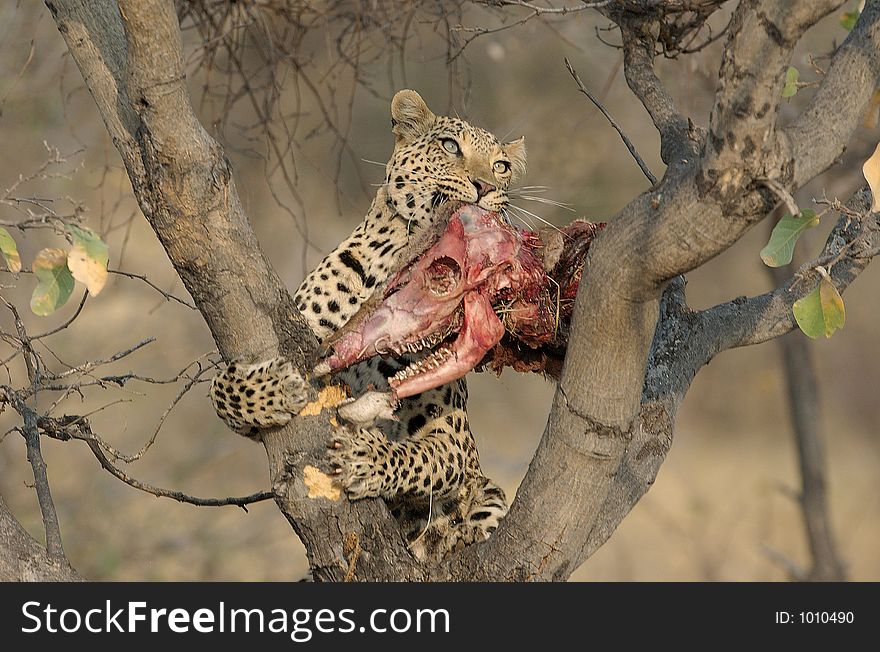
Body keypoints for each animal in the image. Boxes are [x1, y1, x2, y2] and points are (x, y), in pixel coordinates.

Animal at [211, 89, 528, 564]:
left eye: (501, 166)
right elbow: (220, 392)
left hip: (486, 490)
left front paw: (367, 458)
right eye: (450, 146)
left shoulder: (455, 438)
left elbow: (418, 457)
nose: (486, 188)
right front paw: (272, 389)